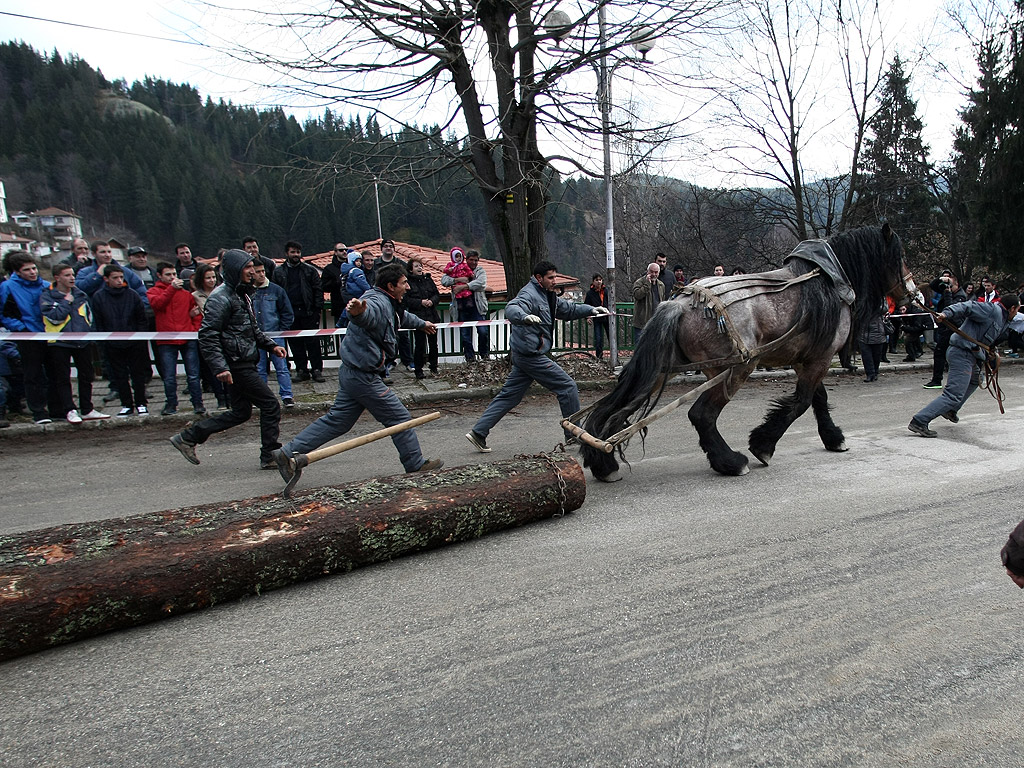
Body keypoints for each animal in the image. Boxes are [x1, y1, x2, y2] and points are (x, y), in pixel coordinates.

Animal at [581, 225, 917, 483]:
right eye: (899, 256)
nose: (912, 291)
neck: (826, 279)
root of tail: (680, 303)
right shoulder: (819, 359)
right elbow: (802, 402)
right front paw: (763, 445)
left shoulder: (807, 359)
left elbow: (818, 399)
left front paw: (833, 438)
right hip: (736, 368)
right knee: (701, 414)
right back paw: (730, 462)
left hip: (667, 368)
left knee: (614, 409)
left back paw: (603, 462)